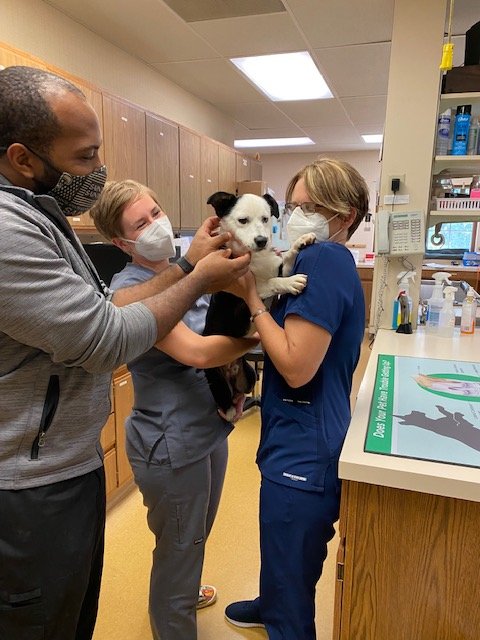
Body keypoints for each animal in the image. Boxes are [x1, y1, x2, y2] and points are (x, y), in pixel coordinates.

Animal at [203, 190, 314, 420]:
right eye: (242, 220)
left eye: (265, 219)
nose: (262, 240)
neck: (256, 258)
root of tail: (230, 368)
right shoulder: (244, 300)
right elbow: (272, 282)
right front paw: (291, 282)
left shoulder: (278, 266)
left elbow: (285, 261)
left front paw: (301, 241)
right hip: (216, 380)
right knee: (224, 403)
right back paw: (230, 411)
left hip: (250, 373)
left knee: (239, 392)